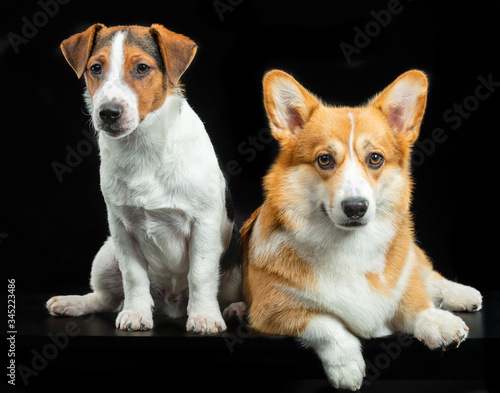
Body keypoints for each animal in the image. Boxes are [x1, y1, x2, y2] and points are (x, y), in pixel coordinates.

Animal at [47, 23, 242, 332]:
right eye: (95, 68)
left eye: (141, 68)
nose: (108, 113)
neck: (143, 145)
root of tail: (171, 303)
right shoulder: (122, 229)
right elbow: (133, 276)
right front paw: (136, 313)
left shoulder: (204, 224)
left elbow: (200, 274)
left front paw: (204, 316)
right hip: (107, 254)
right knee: (106, 297)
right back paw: (75, 303)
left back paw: (237, 309)